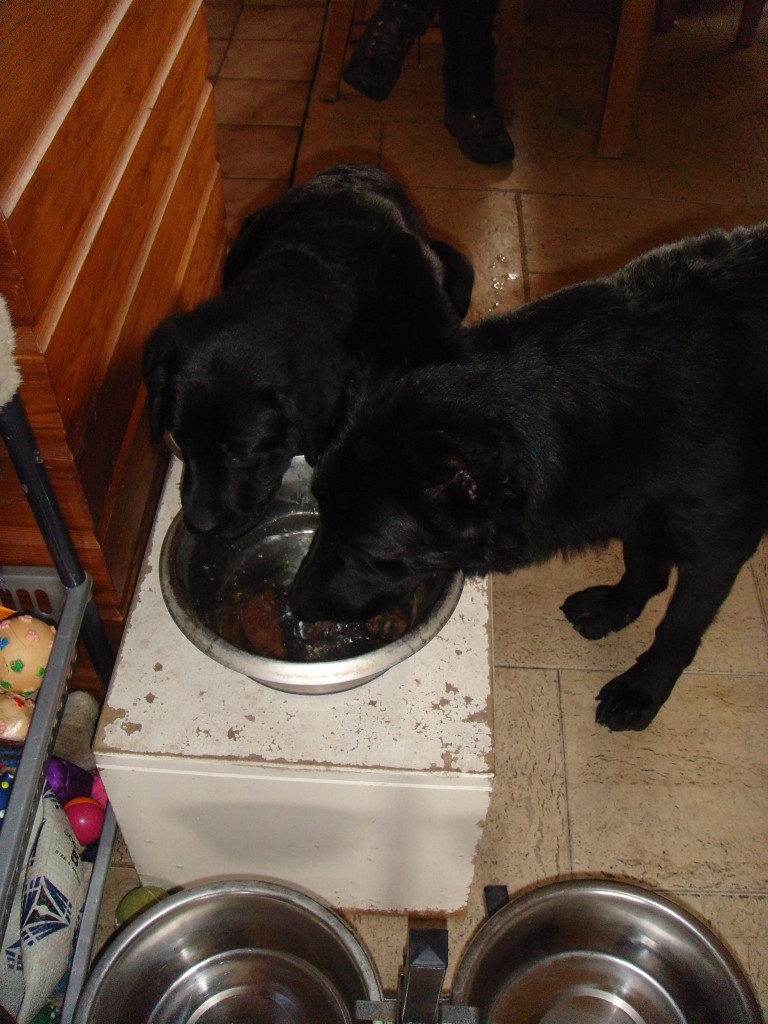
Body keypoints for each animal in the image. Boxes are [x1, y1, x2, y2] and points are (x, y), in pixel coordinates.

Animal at [290, 223, 768, 731]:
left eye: (373, 550)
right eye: (321, 510)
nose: (295, 602)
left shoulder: (718, 549)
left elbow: (677, 629)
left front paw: (643, 687)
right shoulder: (635, 501)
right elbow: (642, 561)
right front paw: (620, 604)